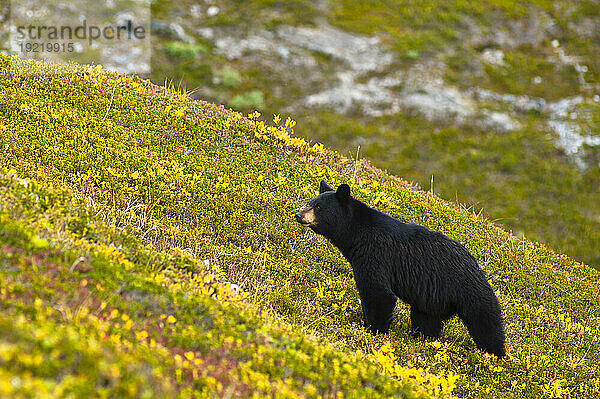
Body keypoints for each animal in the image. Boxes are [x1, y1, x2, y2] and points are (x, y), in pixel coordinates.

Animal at [296, 181, 506, 360]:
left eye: (318, 207)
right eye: (311, 202)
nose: (299, 215)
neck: (355, 234)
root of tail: (477, 265)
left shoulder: (375, 254)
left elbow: (378, 293)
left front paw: (374, 330)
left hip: (468, 289)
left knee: (486, 322)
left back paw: (495, 356)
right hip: (432, 300)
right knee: (426, 320)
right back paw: (423, 340)